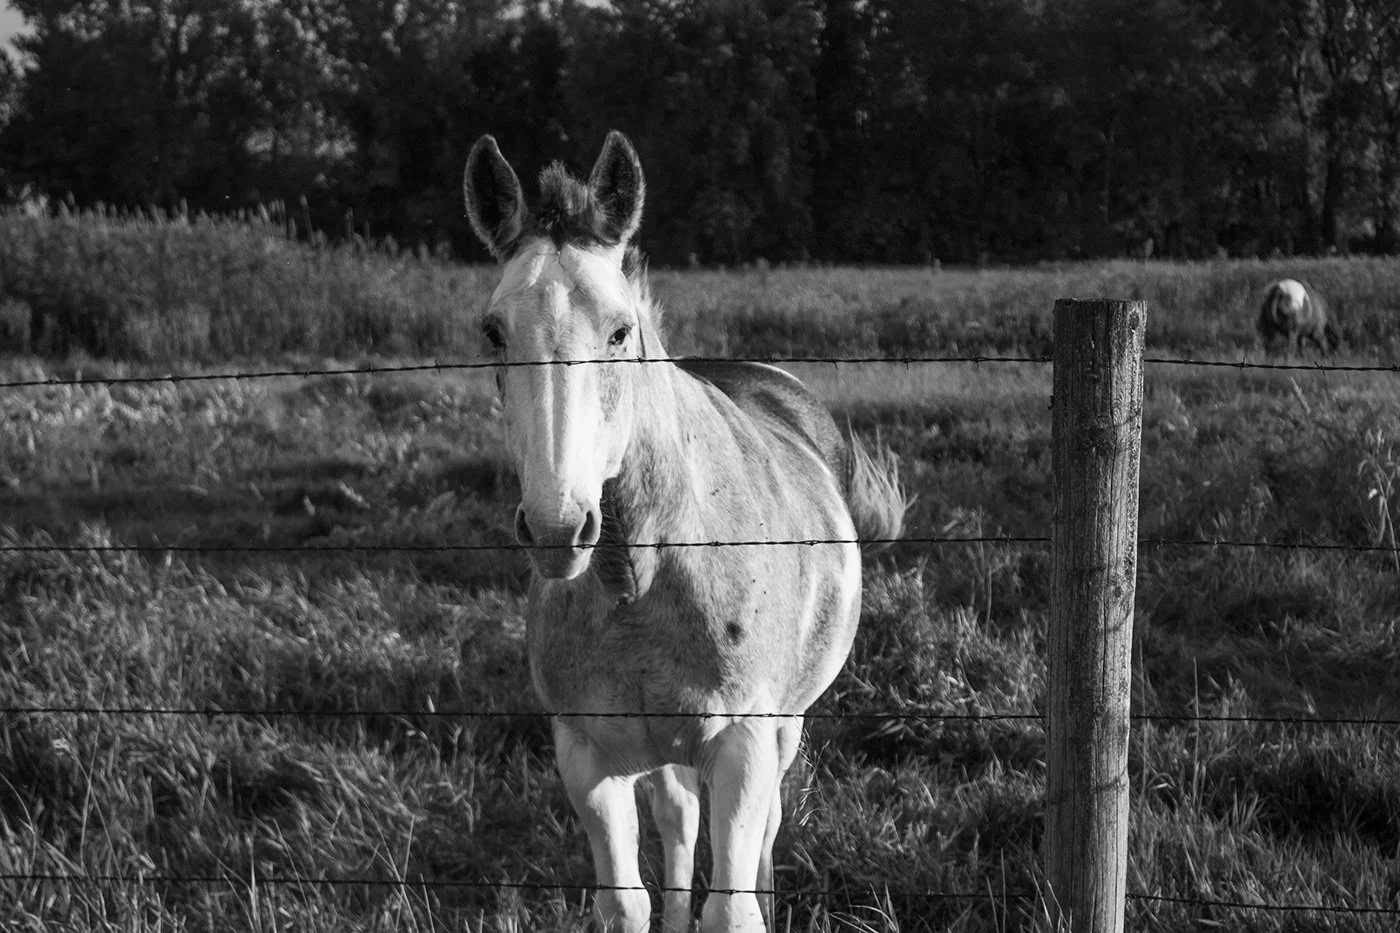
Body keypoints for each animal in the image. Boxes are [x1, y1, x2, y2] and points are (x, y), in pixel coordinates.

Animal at [463, 131, 906, 933]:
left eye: (620, 330)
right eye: (494, 330)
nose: (557, 527)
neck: (638, 575)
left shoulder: (742, 746)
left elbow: (733, 904)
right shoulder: (587, 757)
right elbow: (626, 898)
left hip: (784, 727)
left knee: (762, 834)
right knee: (677, 819)